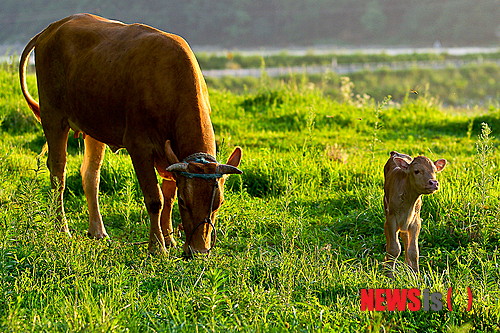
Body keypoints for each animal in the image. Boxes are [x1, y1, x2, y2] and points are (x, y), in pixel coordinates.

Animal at [20, 13, 244, 254]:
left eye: (219, 203)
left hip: (94, 123)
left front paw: (169, 239)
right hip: (53, 116)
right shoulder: (139, 145)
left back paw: (97, 231)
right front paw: (157, 247)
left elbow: (168, 196)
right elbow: (155, 199)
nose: (199, 251)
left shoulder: (171, 156)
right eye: (185, 202)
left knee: (90, 175)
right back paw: (62, 229)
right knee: (58, 174)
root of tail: (53, 27)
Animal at [382, 150, 446, 278]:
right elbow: (394, 248)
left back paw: (408, 266)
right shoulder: (391, 219)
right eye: (416, 171)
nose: (434, 183)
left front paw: (416, 276)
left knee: (405, 237)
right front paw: (389, 276)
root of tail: (396, 153)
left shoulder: (415, 222)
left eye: (434, 171)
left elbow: (414, 250)